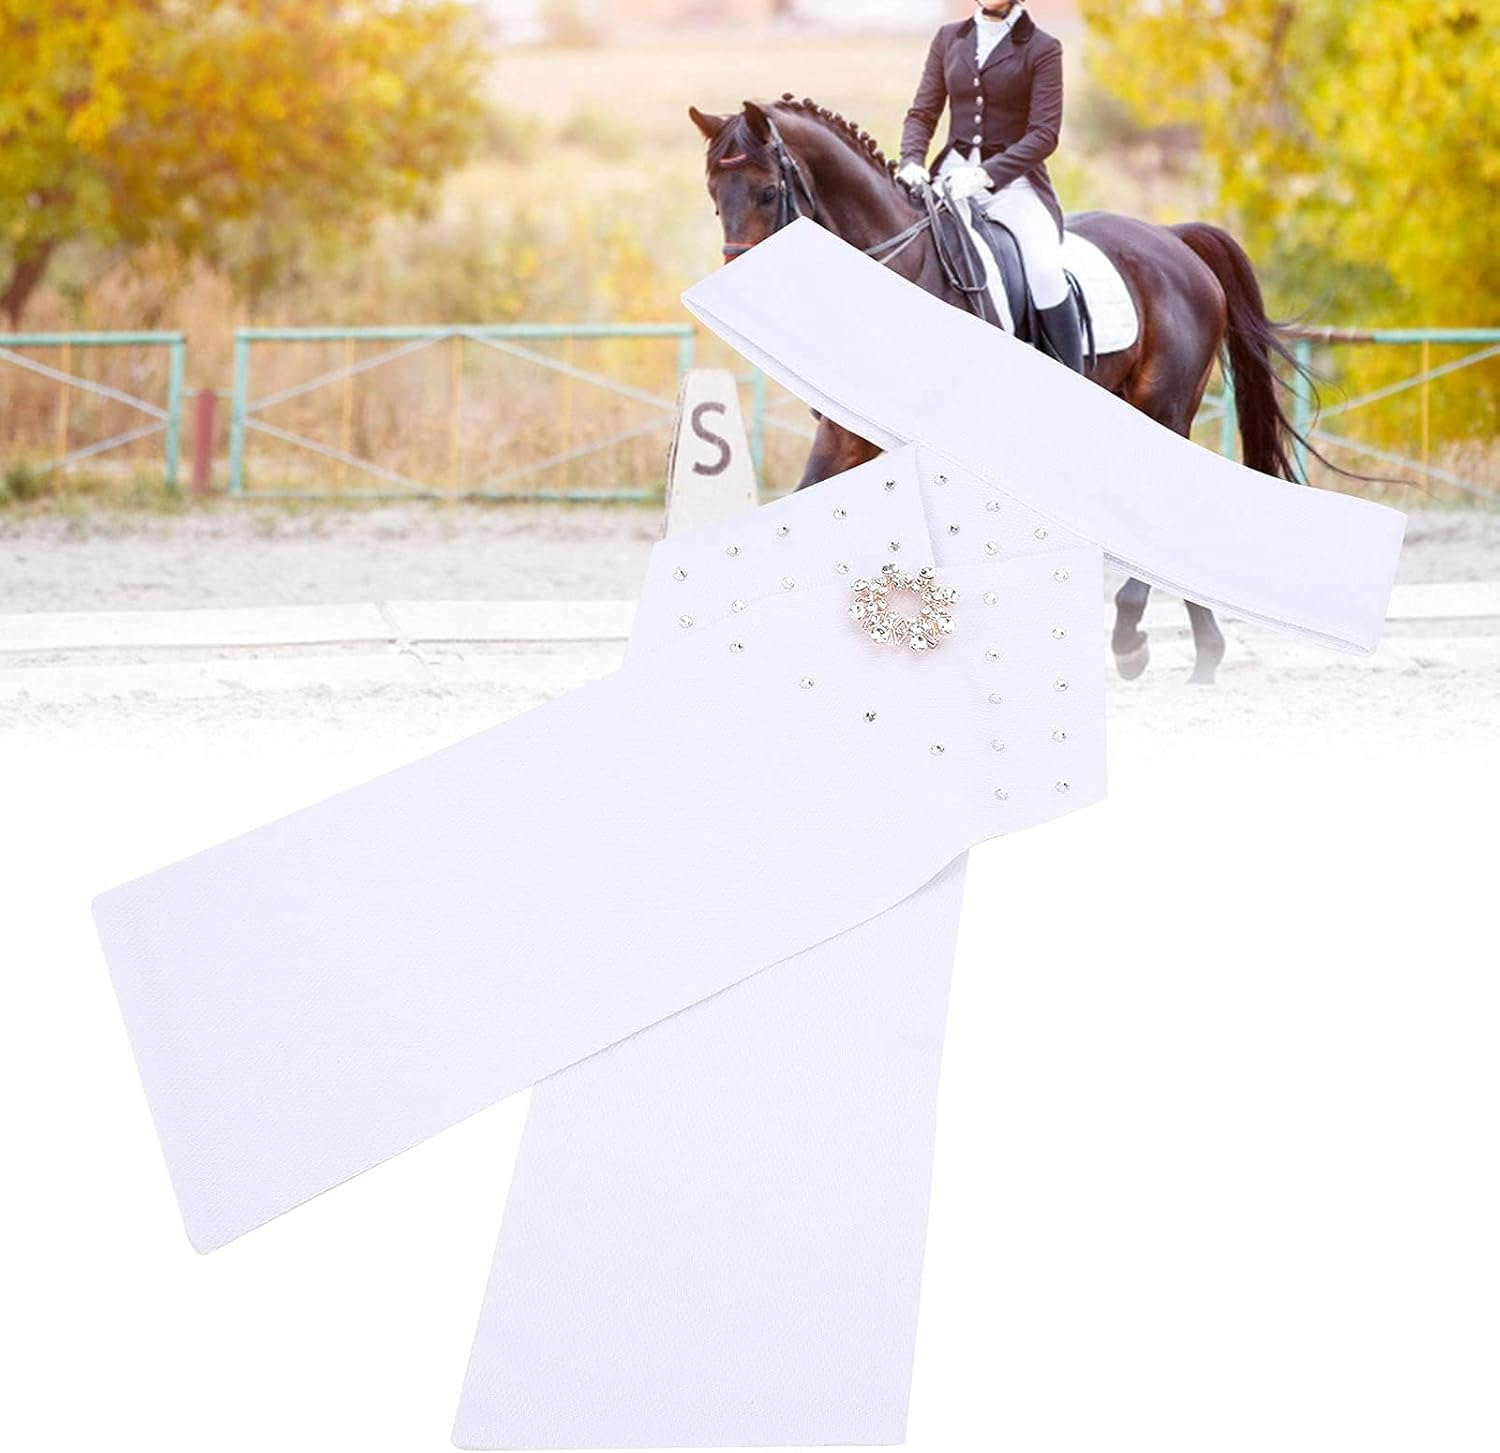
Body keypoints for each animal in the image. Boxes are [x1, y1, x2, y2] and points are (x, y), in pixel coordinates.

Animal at [690, 94, 1327, 687]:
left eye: (767, 192)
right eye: (714, 195)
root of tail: (1173, 240)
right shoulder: (845, 436)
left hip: (1163, 406)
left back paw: (1131, 638)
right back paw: (1203, 655)